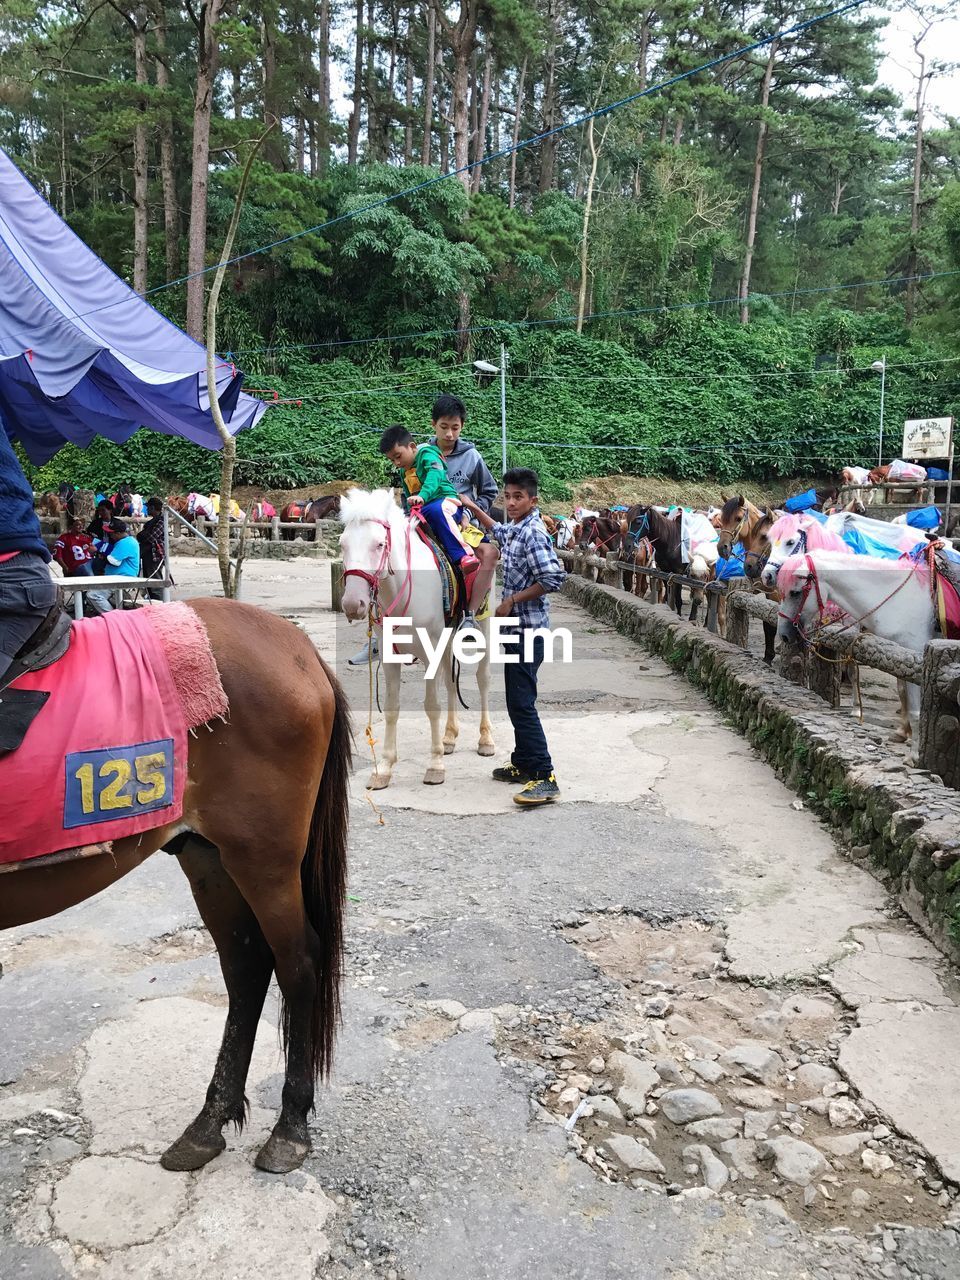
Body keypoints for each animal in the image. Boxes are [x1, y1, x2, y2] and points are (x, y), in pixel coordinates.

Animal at [0, 599, 353, 1177]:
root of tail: (295, 644)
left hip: (265, 860)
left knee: (298, 961)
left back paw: (289, 1127)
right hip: (208, 857)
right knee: (247, 967)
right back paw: (209, 1122)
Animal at [340, 488, 496, 788]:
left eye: (379, 544)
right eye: (342, 545)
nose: (353, 604)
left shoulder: (430, 651)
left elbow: (431, 705)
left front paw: (435, 765)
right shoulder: (390, 655)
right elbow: (392, 707)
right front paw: (384, 768)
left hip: (484, 627)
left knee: (483, 680)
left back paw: (485, 739)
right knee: (451, 681)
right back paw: (449, 737)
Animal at [778, 547, 936, 742]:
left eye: (795, 592)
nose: (784, 635)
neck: (901, 597)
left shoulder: (916, 649)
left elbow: (916, 711)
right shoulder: (902, 653)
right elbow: (901, 690)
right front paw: (902, 731)